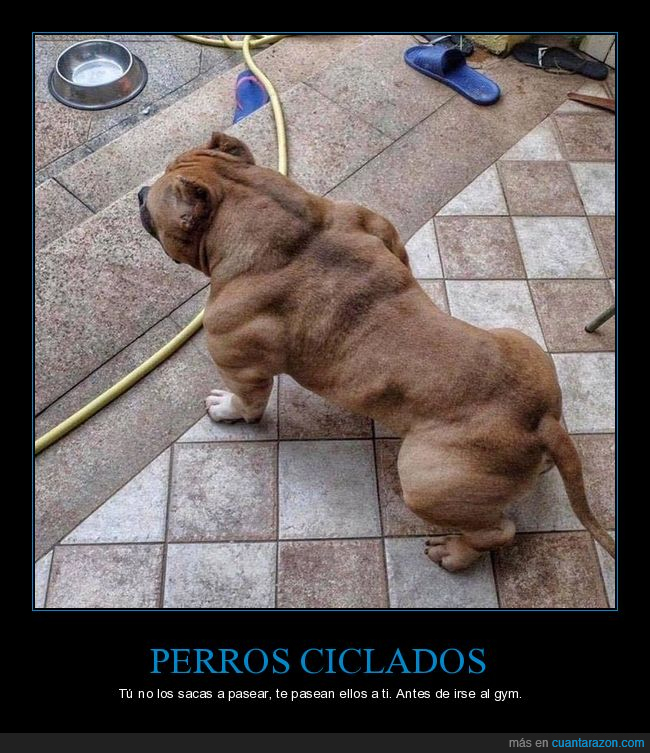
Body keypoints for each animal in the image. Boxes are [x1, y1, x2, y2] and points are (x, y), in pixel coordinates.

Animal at [139, 131, 614, 571]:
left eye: (153, 202)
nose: (141, 192)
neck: (286, 225)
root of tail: (539, 421)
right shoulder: (376, 227)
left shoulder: (238, 362)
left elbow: (248, 401)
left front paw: (228, 409)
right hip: (522, 344)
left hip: (424, 479)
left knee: (496, 531)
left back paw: (455, 553)